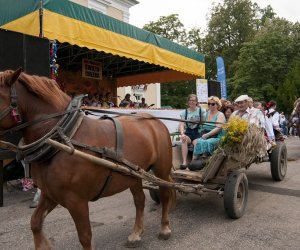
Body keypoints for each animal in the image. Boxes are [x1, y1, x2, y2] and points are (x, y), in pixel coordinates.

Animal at [0, 69, 176, 250]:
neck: (63, 138)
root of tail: (155, 121)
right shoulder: (50, 194)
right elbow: (35, 222)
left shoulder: (76, 201)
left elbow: (85, 236)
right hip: (133, 174)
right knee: (140, 200)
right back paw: (136, 233)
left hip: (161, 169)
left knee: (165, 193)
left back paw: (165, 228)